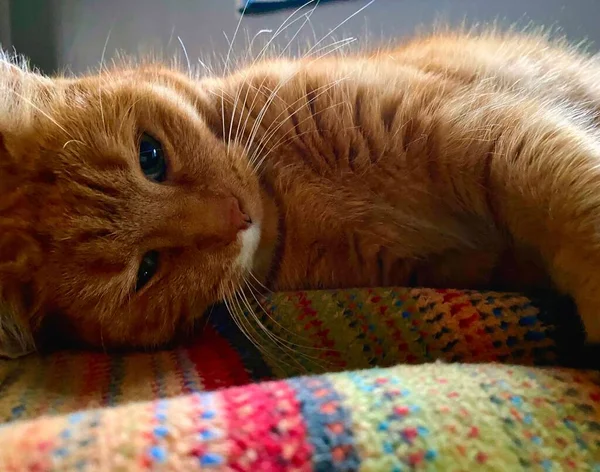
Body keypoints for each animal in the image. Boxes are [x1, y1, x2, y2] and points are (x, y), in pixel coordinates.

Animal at [1, 27, 600, 356]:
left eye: (151, 156)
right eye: (147, 270)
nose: (237, 215)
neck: (287, 196)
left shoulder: (486, 131)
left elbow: (575, 197)